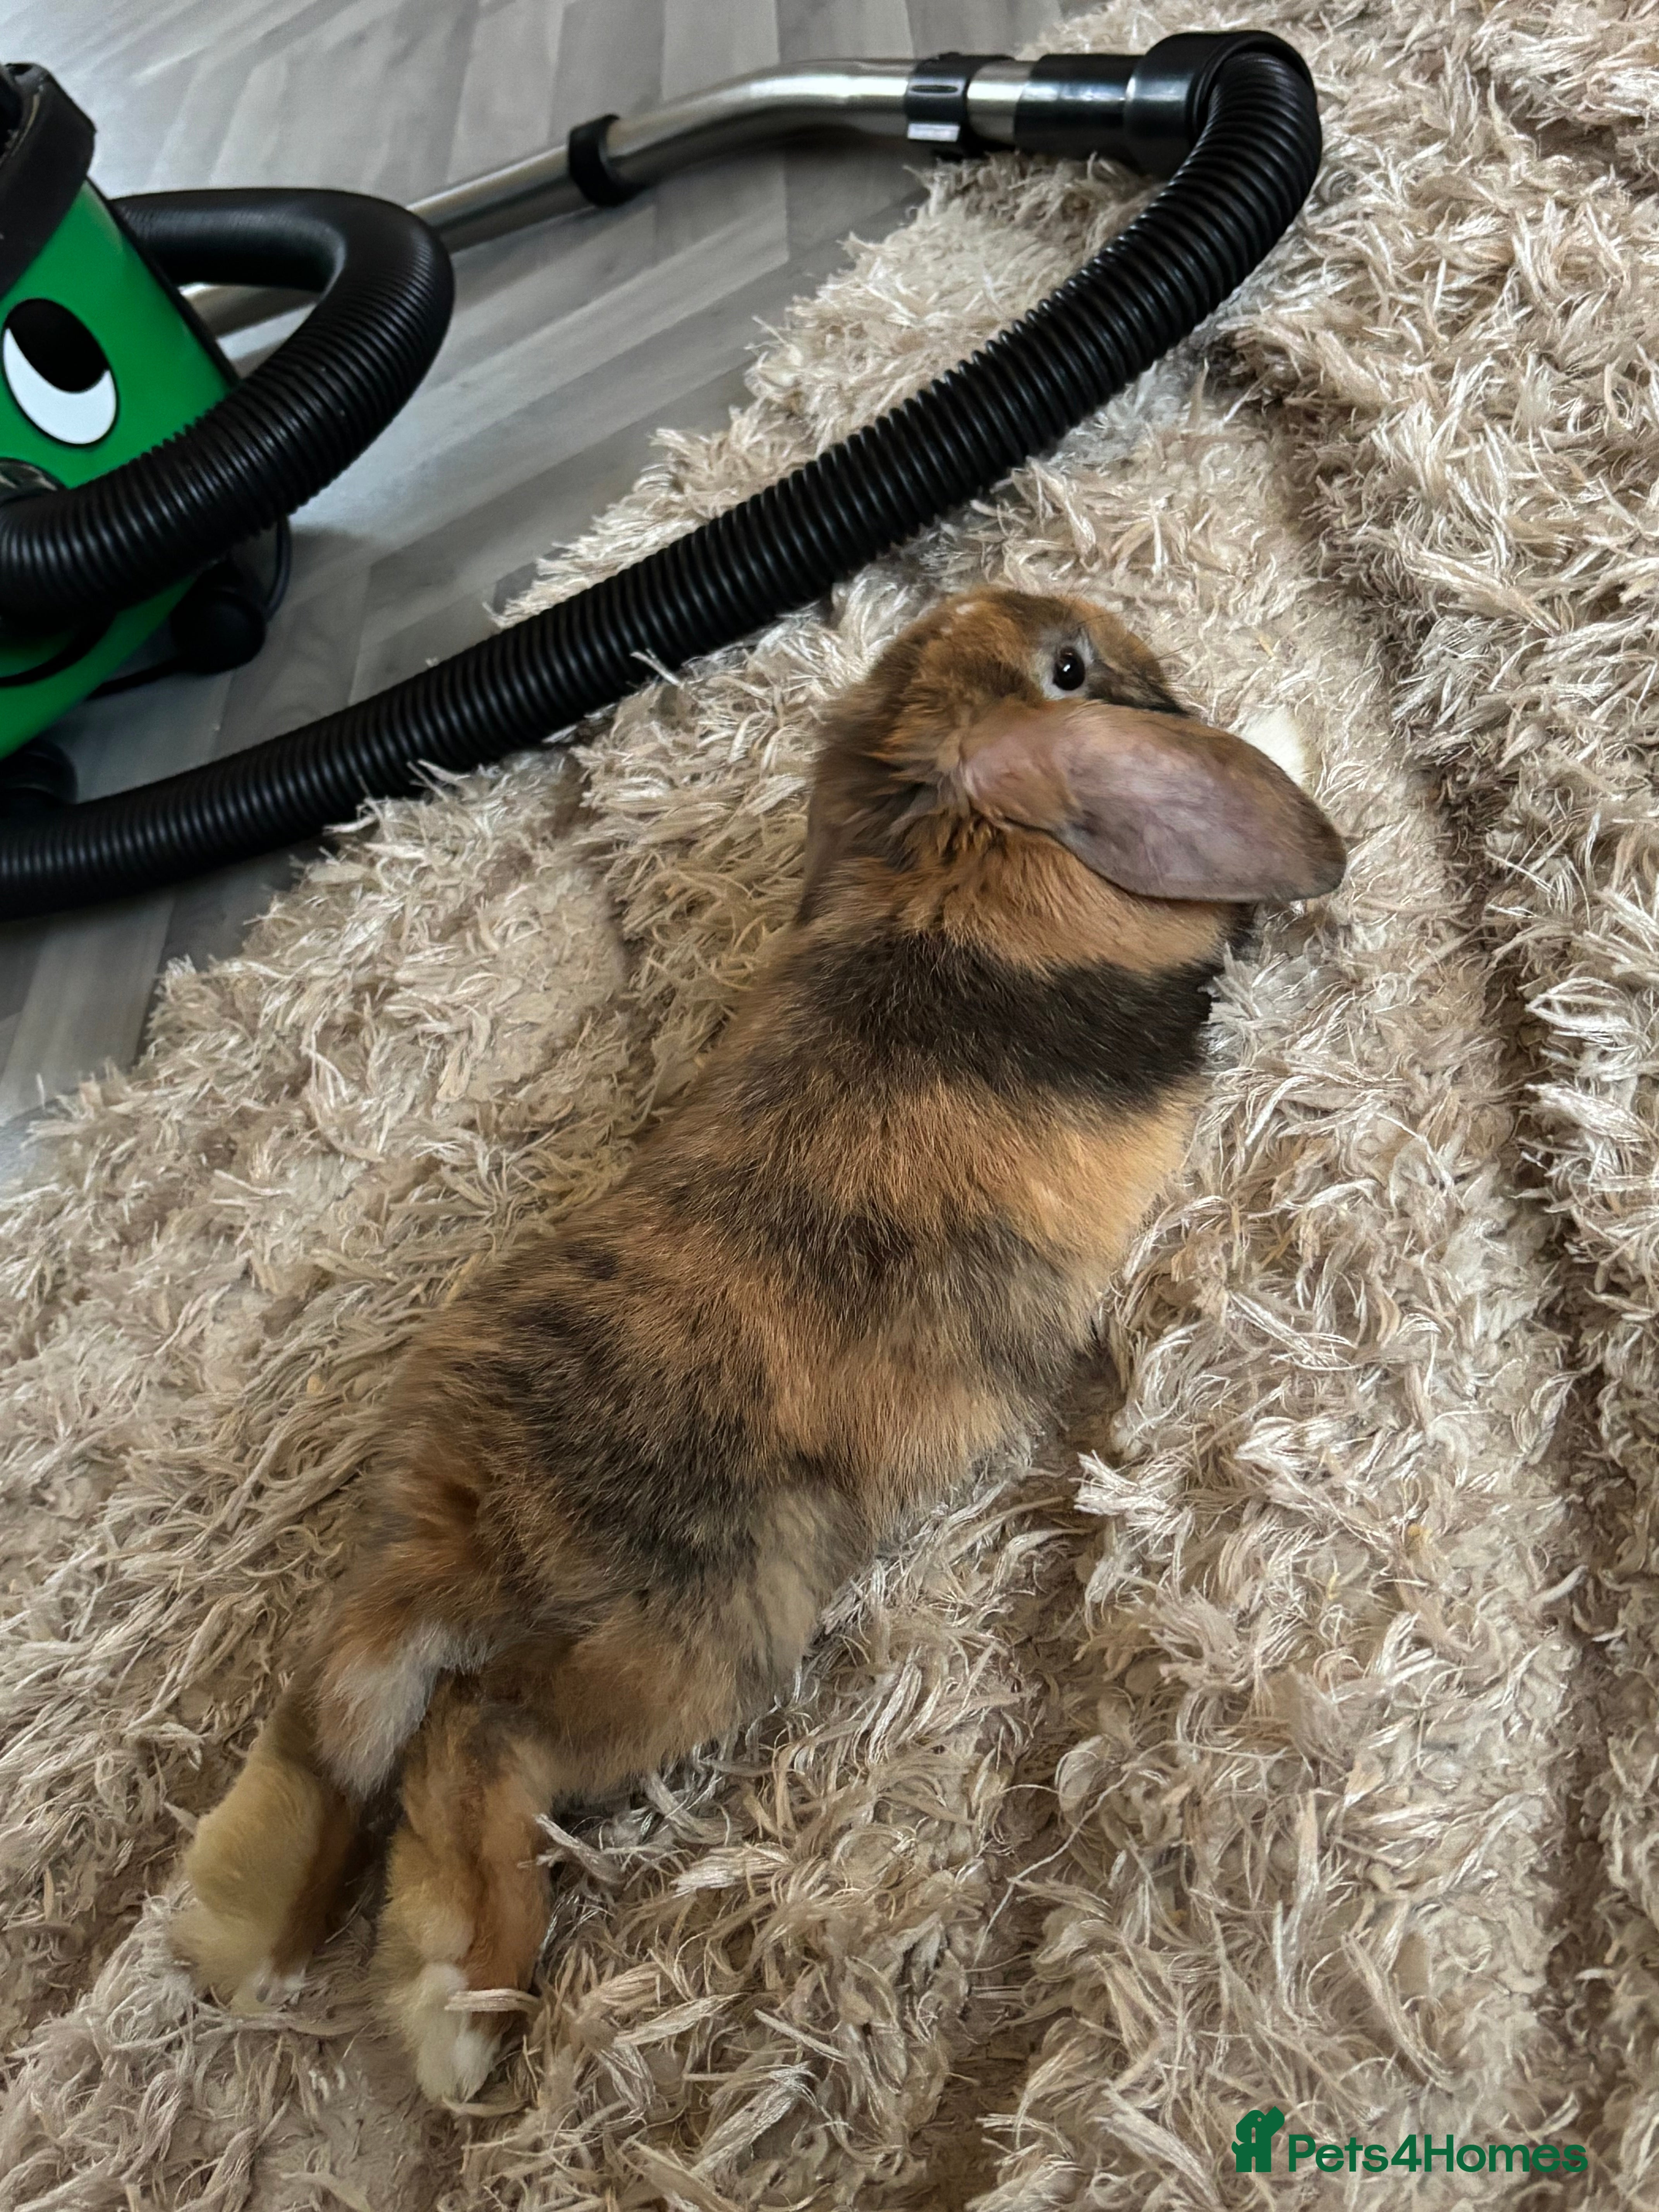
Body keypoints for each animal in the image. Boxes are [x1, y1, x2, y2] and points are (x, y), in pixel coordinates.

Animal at [171, 586, 1345, 2101]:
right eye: (1070, 667)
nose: (1106, 625)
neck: (953, 822)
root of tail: (487, 1525)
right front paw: (1287, 726)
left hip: (426, 1585)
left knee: (332, 1715)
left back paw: (242, 1941)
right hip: (706, 1633)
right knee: (476, 1737)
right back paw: (457, 2009)